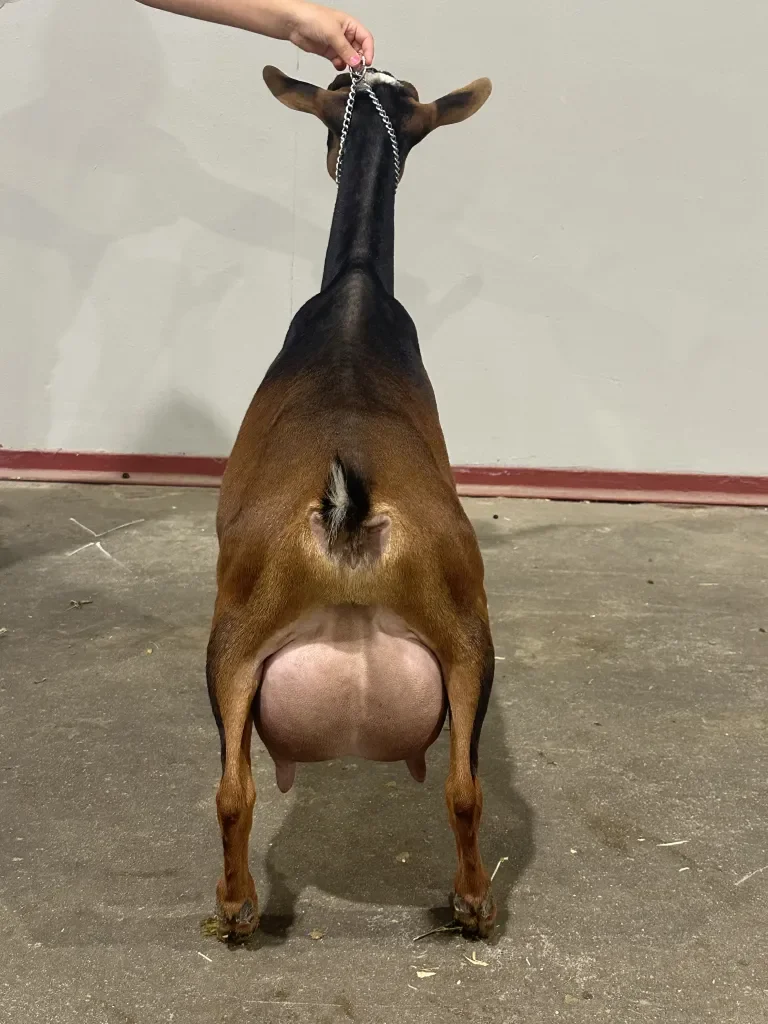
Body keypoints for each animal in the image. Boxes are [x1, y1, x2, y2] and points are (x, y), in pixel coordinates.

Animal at [207, 64, 494, 940]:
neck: (357, 286)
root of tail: (348, 518)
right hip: (465, 639)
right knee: (463, 788)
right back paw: (474, 902)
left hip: (232, 635)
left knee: (232, 790)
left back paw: (233, 907)